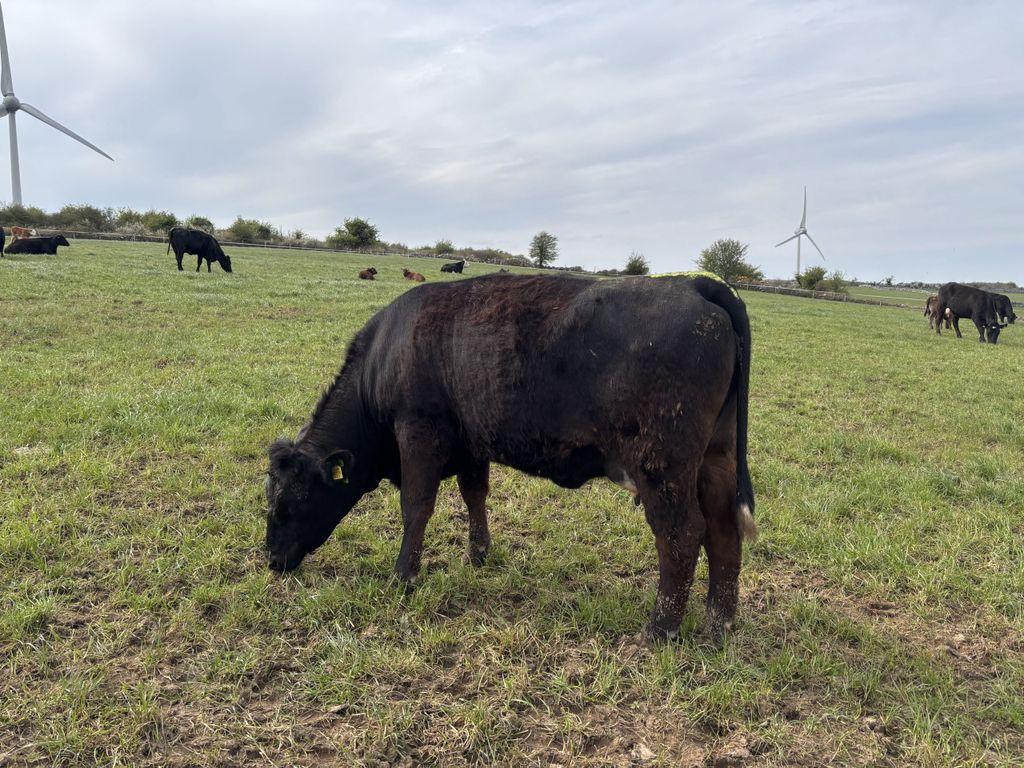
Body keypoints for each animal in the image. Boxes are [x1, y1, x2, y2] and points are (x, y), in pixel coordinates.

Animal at [265, 274, 755, 644]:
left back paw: (659, 629)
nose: (271, 560)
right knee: (723, 531)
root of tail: (694, 284)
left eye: (292, 503)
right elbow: (474, 493)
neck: (384, 354)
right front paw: (480, 553)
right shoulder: (470, 443)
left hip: (663, 466)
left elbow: (417, 506)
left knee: (681, 534)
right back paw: (719, 626)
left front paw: (404, 576)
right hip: (715, 459)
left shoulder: (419, 431)